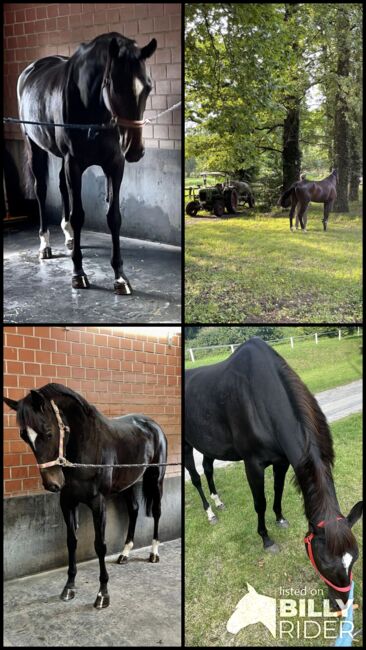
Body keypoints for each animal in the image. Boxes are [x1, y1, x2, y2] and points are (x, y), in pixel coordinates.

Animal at [3, 382, 167, 604]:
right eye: (24, 436)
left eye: (48, 432)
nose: (52, 484)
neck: (87, 447)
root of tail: (153, 425)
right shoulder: (67, 502)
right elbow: (71, 542)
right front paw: (69, 587)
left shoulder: (98, 503)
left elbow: (100, 545)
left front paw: (102, 594)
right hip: (129, 484)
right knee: (133, 510)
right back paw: (124, 554)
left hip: (156, 478)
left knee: (157, 512)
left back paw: (154, 553)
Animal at [17, 31, 157, 292]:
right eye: (114, 85)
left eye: (148, 87)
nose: (134, 150)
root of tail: (30, 70)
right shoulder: (74, 164)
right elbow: (79, 215)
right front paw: (78, 273)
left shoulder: (115, 165)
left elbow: (114, 217)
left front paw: (120, 276)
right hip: (34, 147)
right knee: (41, 190)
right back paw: (45, 245)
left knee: (61, 185)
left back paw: (70, 236)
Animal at [186, 340, 364, 608]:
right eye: (324, 562)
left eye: (354, 558)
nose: (341, 606)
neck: (262, 398)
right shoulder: (253, 464)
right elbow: (260, 502)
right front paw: (266, 539)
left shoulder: (282, 461)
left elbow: (277, 491)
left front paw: (280, 518)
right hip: (186, 444)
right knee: (196, 477)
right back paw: (210, 513)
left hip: (209, 445)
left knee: (207, 469)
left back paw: (219, 502)